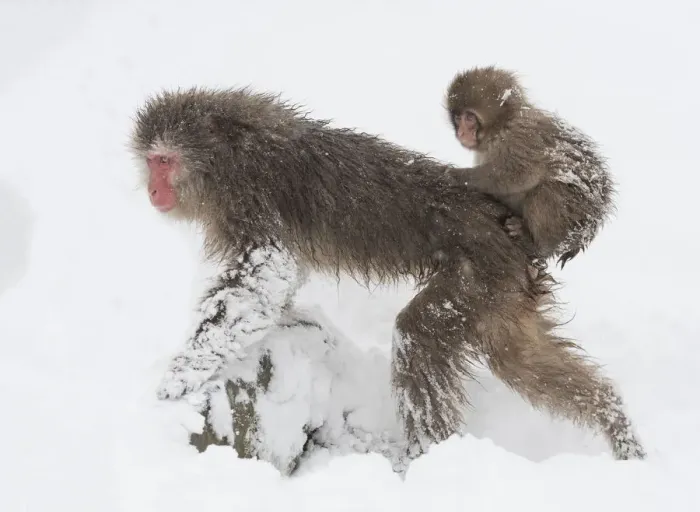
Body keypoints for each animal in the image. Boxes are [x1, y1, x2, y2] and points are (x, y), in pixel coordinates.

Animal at [129, 87, 645, 462]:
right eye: (150, 162)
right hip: (501, 289)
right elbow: (280, 280)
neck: (229, 156)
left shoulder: (252, 197)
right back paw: (614, 420)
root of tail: (517, 234)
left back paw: (424, 457)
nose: (152, 190)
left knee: (420, 338)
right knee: (521, 361)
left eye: (163, 161)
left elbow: (263, 276)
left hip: (476, 275)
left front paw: (181, 374)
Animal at [445, 66, 616, 269]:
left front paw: (459, 176)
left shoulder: (520, 136)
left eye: (470, 118)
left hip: (575, 216)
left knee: (547, 193)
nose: (461, 133)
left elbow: (520, 174)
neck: (501, 126)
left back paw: (537, 245)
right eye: (458, 118)